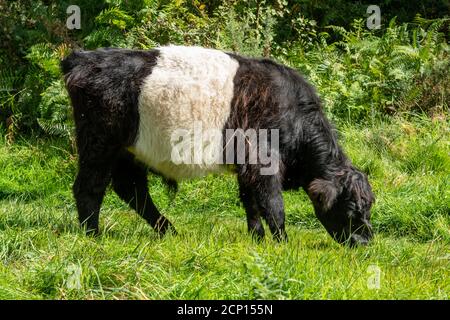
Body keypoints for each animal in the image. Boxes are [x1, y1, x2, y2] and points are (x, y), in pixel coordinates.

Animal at [61, 44, 374, 245]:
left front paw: (257, 239)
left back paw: (168, 232)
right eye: (351, 210)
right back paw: (93, 237)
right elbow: (273, 204)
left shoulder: (246, 165)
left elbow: (250, 202)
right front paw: (283, 243)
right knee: (90, 188)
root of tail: (83, 59)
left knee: (133, 191)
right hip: (99, 144)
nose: (366, 242)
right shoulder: (263, 160)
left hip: (129, 152)